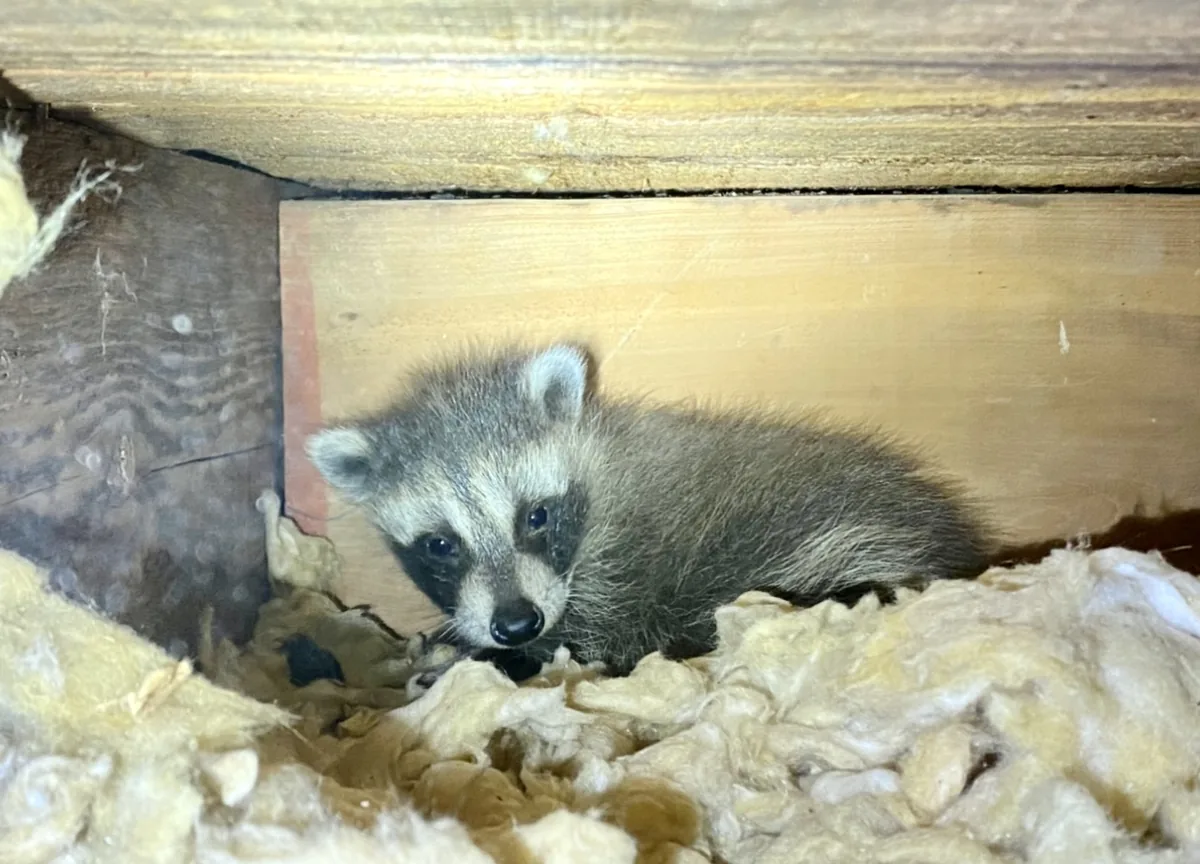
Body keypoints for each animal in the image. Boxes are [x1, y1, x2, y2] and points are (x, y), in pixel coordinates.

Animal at [307, 342, 992, 678]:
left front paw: (497, 659)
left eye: (535, 516)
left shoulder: (620, 578)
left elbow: (591, 643)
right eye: (441, 544)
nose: (517, 625)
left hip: (834, 541)